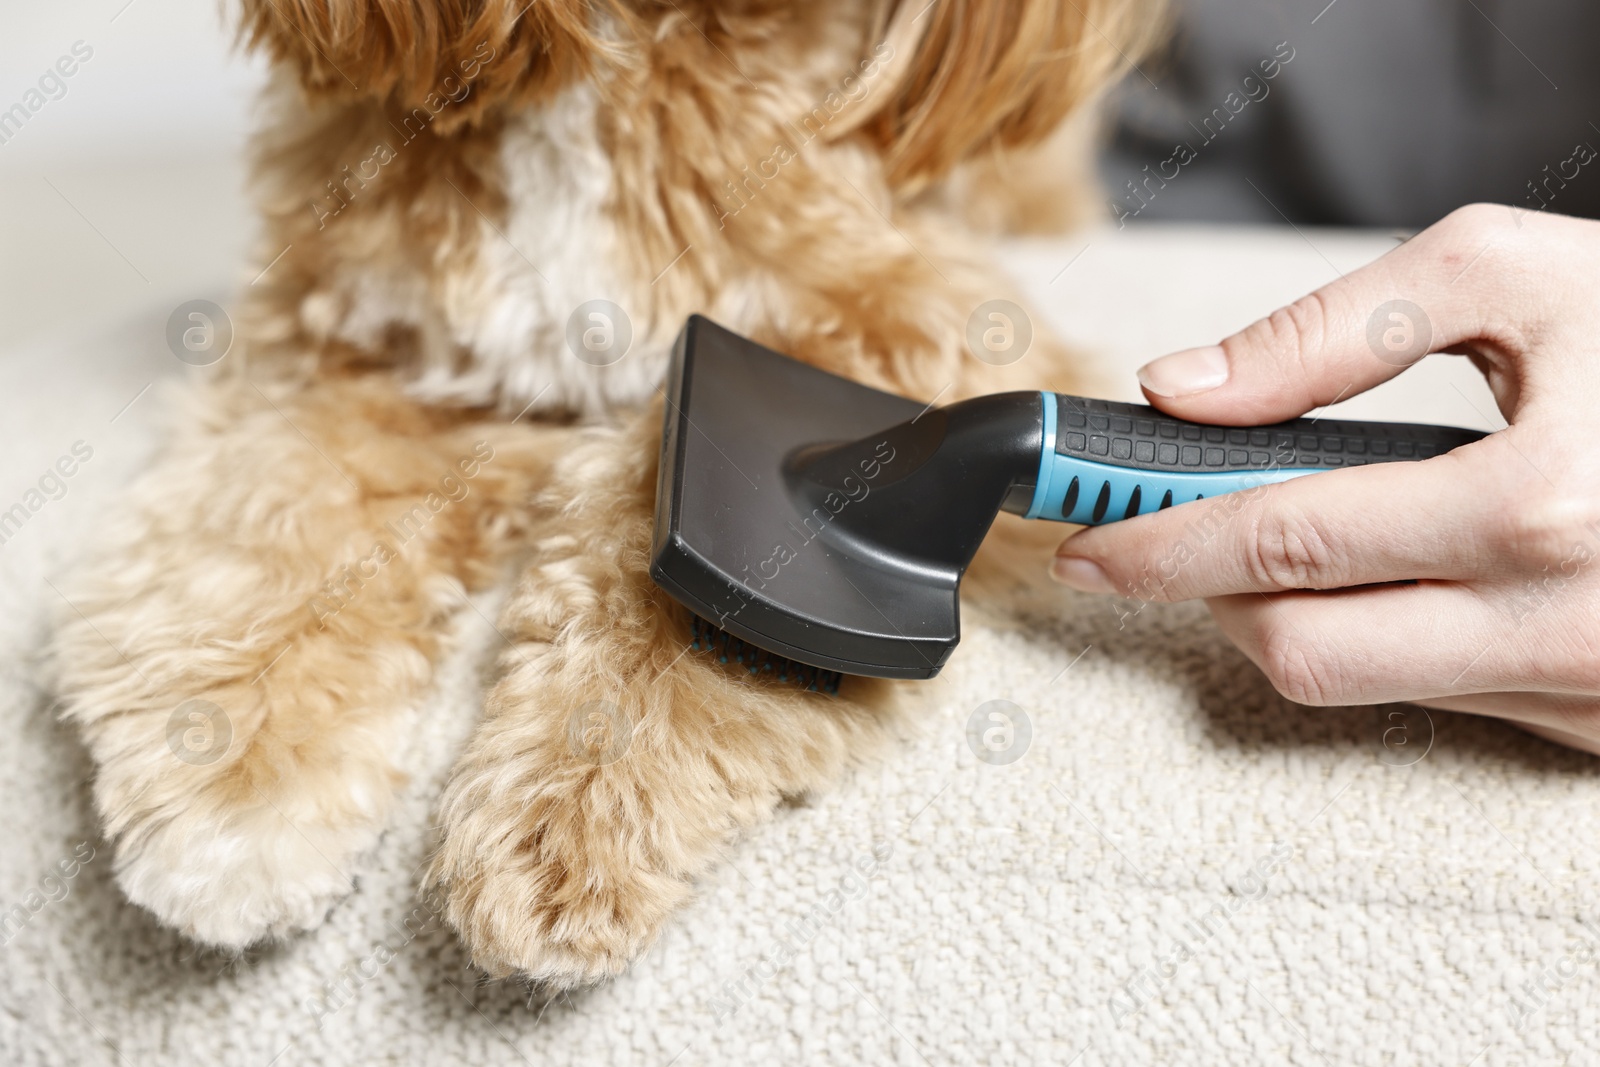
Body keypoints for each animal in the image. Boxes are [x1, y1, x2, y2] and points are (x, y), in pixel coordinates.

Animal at [43, 0, 1158, 985]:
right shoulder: (348, 361)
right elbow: (270, 524)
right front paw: (232, 775)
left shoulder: (904, 326)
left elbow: (662, 575)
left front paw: (583, 804)